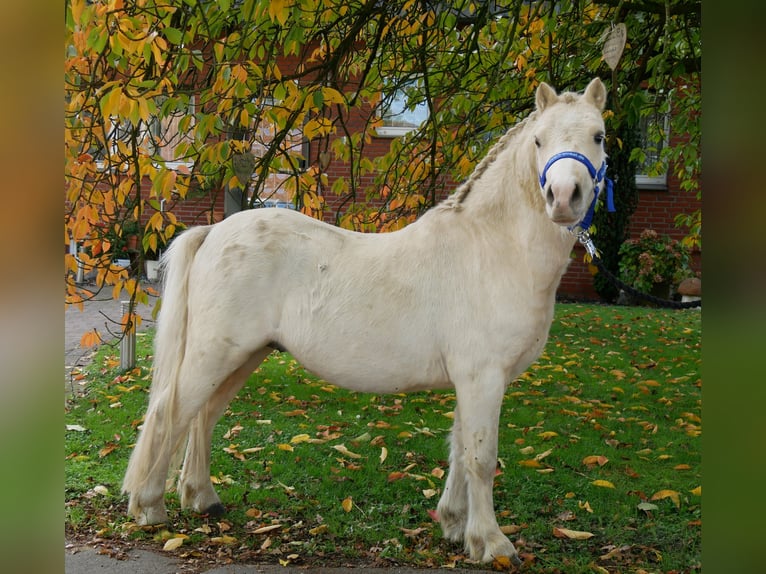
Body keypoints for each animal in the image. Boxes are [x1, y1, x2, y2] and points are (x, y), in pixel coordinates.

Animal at [123, 80, 608, 568]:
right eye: (539, 141)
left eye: (599, 136)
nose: (564, 196)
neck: (491, 248)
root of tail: (213, 232)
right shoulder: (483, 377)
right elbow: (481, 457)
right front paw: (490, 542)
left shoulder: (469, 381)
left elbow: (458, 449)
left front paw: (454, 525)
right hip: (214, 354)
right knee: (169, 413)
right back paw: (149, 506)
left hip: (244, 355)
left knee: (203, 417)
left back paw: (202, 499)